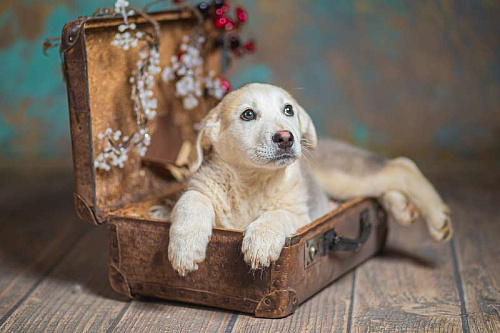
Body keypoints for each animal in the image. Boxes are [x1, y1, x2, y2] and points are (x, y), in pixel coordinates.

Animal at [166, 83, 452, 274]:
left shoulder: (300, 214)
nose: (285, 137)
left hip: (343, 176)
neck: (253, 181)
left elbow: (275, 215)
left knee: (401, 166)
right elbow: (190, 204)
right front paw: (185, 249)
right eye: (248, 114)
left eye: (288, 110)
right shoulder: (199, 188)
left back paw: (438, 218)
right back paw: (403, 208)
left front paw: (260, 241)